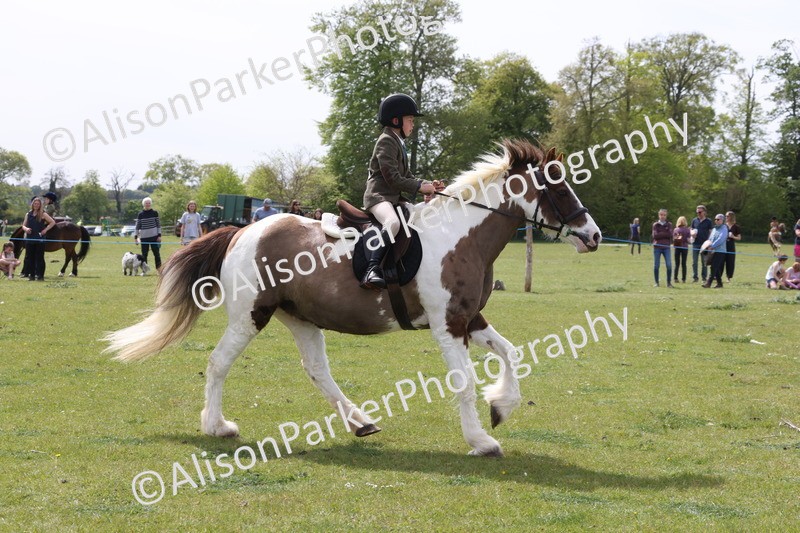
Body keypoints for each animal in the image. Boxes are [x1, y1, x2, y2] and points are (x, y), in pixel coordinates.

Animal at [104, 140, 602, 457]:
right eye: (558, 188)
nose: (594, 236)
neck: (462, 235)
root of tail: (242, 231)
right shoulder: (448, 326)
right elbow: (463, 383)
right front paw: (481, 441)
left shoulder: (469, 319)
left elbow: (511, 353)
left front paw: (501, 407)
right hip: (251, 316)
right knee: (219, 363)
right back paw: (216, 426)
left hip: (300, 318)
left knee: (317, 371)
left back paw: (361, 422)